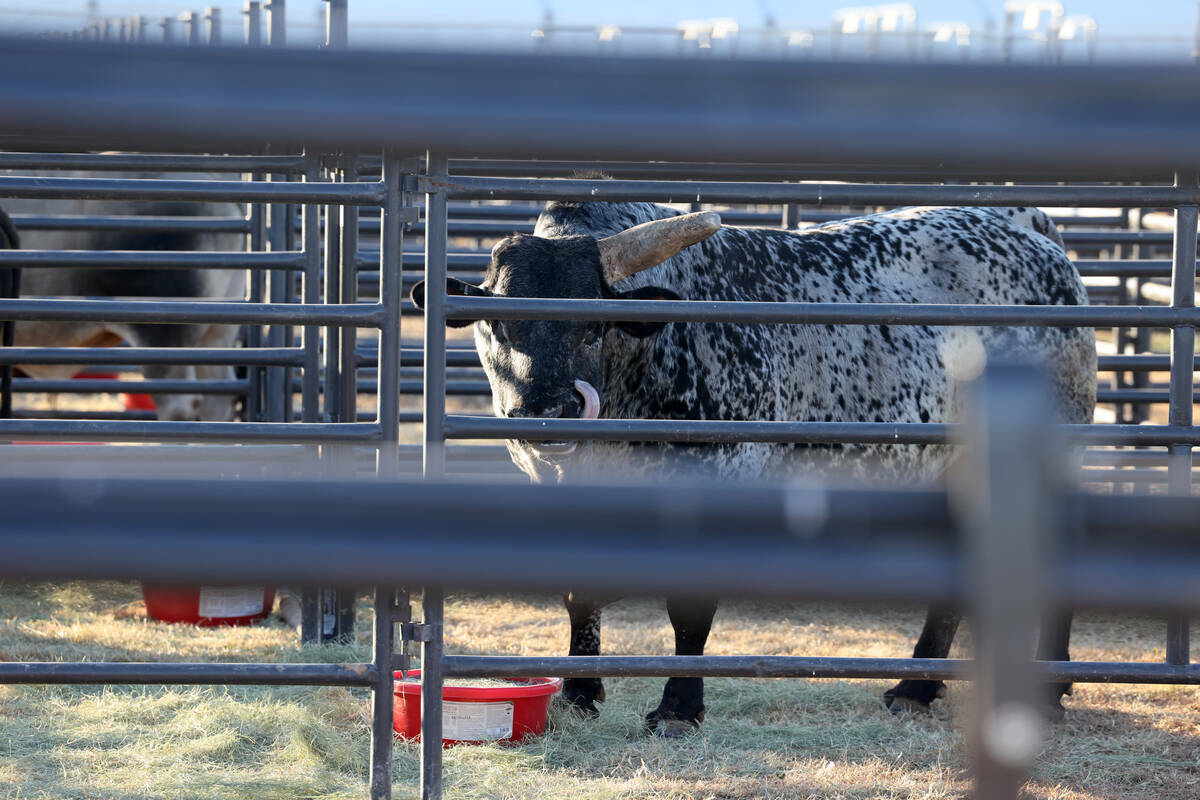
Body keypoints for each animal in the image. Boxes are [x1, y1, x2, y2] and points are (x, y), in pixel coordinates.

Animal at [412, 201, 1099, 738]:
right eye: (499, 327)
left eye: (593, 328)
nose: (547, 412)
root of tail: (1027, 227)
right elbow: (579, 593)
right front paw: (580, 693)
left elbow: (689, 610)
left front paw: (678, 709)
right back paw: (917, 687)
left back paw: (1041, 689)